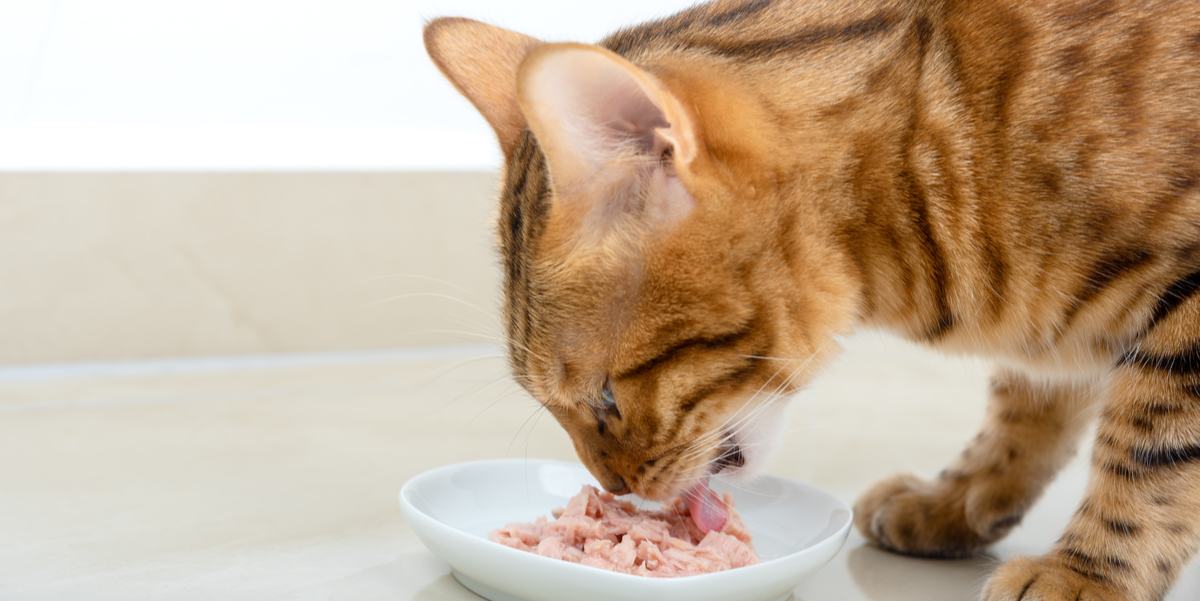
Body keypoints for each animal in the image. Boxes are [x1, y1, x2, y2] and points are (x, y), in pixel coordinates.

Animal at [424, 1, 1200, 595]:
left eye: (606, 397)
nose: (614, 491)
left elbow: (1149, 454)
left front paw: (1089, 570)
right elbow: (1028, 401)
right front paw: (959, 497)